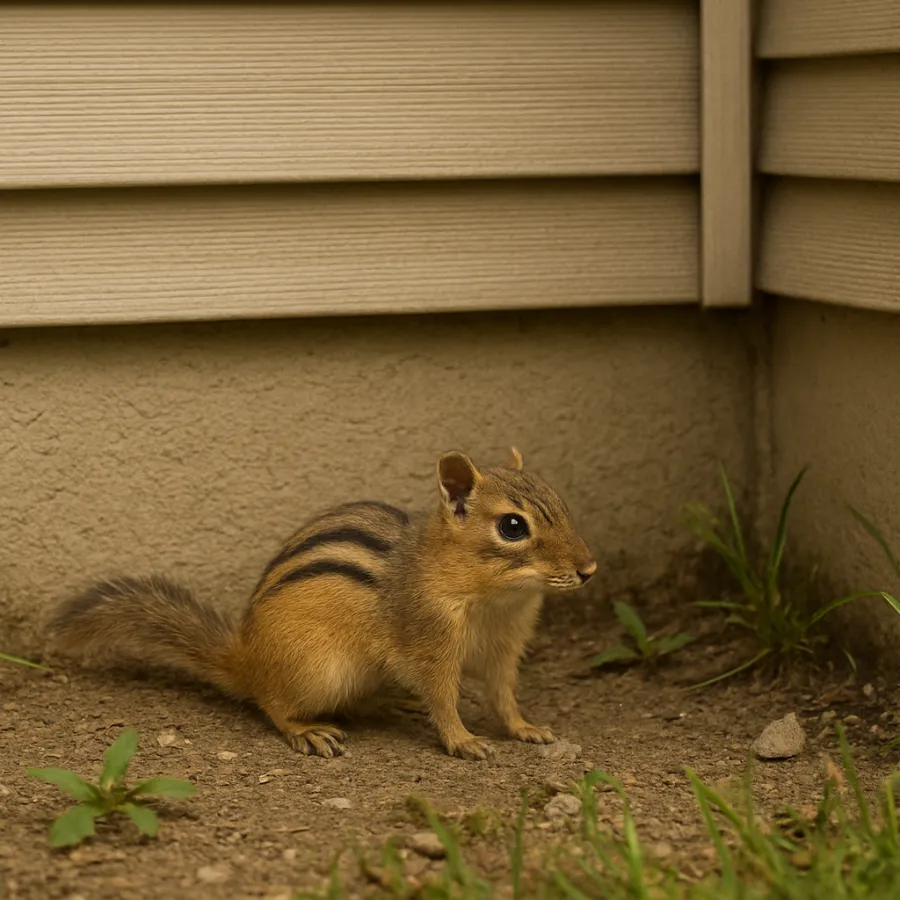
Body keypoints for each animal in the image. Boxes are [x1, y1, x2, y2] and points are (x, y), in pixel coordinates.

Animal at [50, 448, 596, 761]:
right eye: (512, 526)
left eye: (561, 502)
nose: (589, 568)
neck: (495, 600)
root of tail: (246, 658)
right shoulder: (431, 646)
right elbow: (443, 698)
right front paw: (463, 740)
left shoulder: (505, 649)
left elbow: (504, 696)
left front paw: (526, 729)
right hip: (319, 670)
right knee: (272, 705)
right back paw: (306, 730)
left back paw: (390, 702)